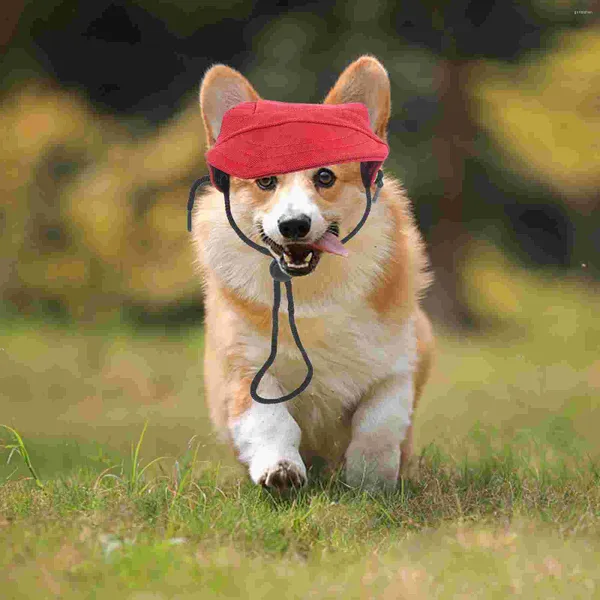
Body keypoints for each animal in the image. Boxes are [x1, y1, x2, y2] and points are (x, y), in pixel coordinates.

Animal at [195, 55, 434, 492]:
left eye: (325, 177)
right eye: (265, 181)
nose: (294, 225)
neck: (309, 295)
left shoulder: (398, 364)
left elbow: (379, 420)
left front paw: (371, 479)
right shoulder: (244, 369)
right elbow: (270, 421)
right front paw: (280, 470)